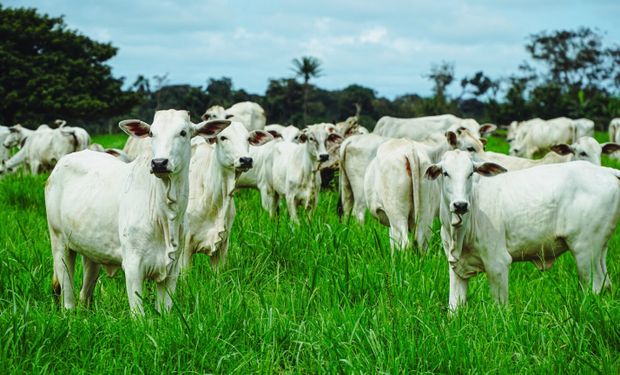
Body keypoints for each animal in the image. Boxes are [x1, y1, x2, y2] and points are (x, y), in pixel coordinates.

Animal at [44, 110, 231, 316]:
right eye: (151, 133)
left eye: (183, 132)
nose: (159, 163)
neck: (165, 215)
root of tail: (62, 162)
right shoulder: (133, 266)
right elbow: (138, 315)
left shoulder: (172, 269)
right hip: (59, 242)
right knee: (67, 294)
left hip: (91, 251)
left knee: (85, 292)